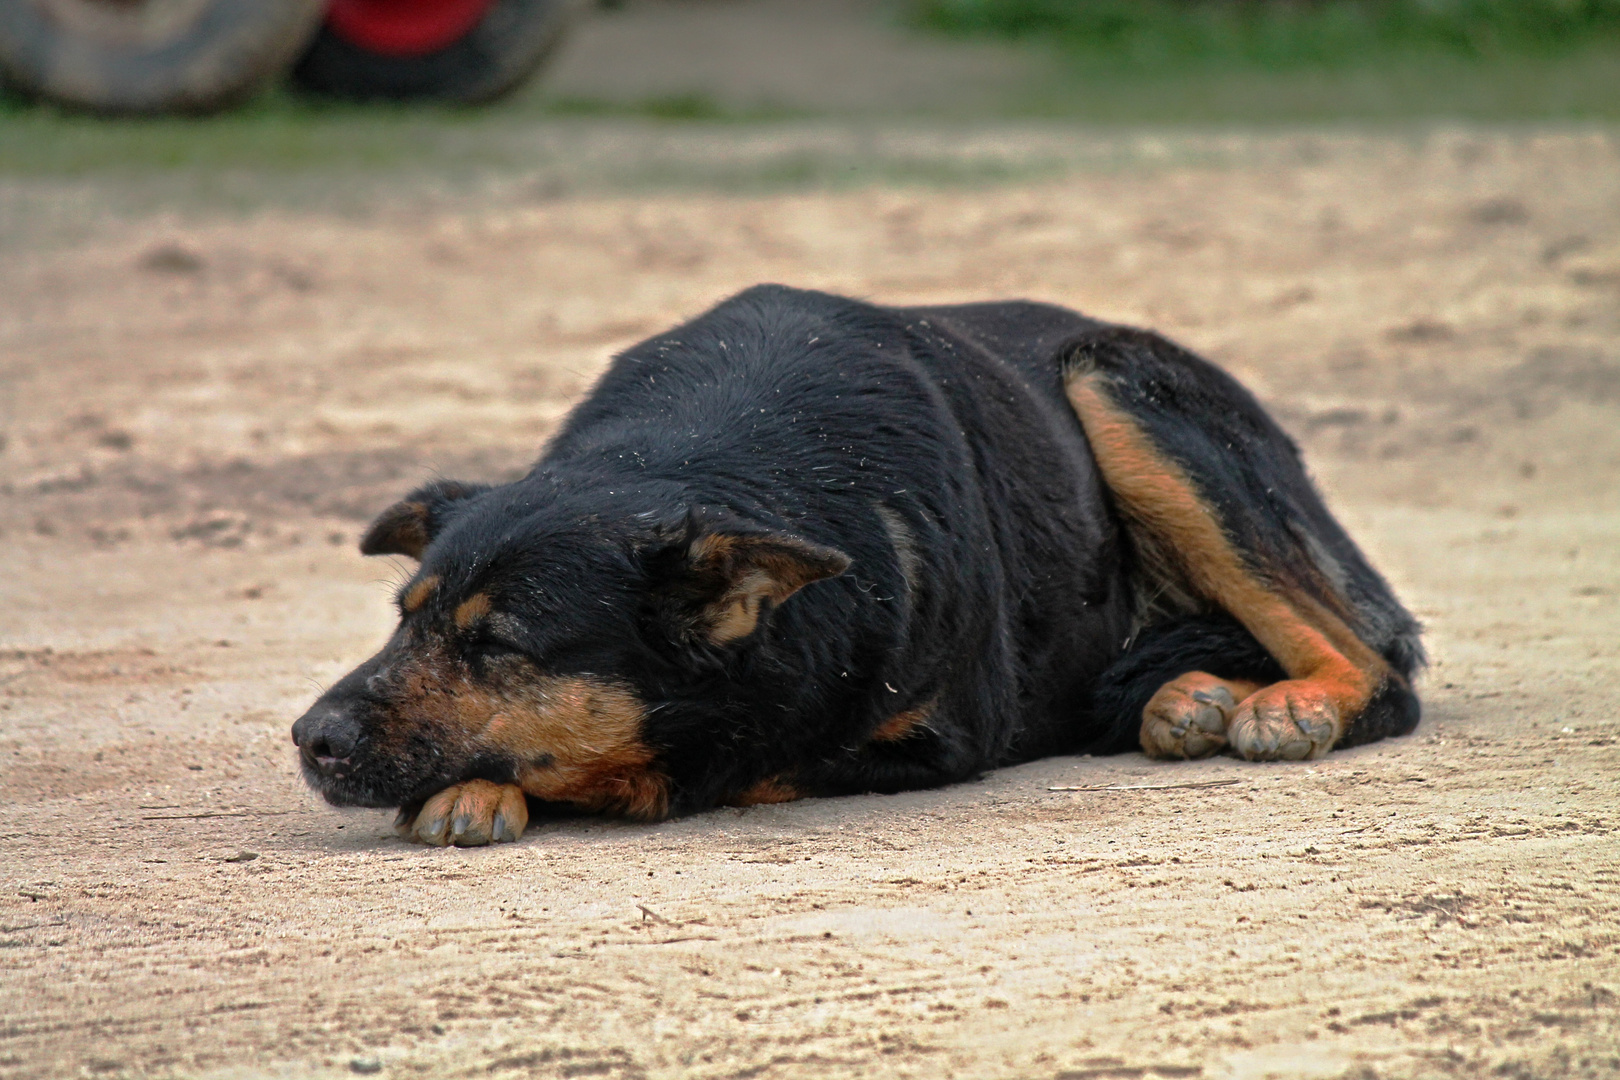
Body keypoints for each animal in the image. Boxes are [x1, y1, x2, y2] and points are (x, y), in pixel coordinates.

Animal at [288, 284, 1419, 841]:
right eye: (403, 619)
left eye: (500, 645)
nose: (310, 740)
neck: (702, 450)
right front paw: (476, 789)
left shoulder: (917, 742)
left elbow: (710, 762)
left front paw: (500, 785)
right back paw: (1184, 695)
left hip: (1114, 385)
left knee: (1380, 668)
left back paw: (1293, 702)